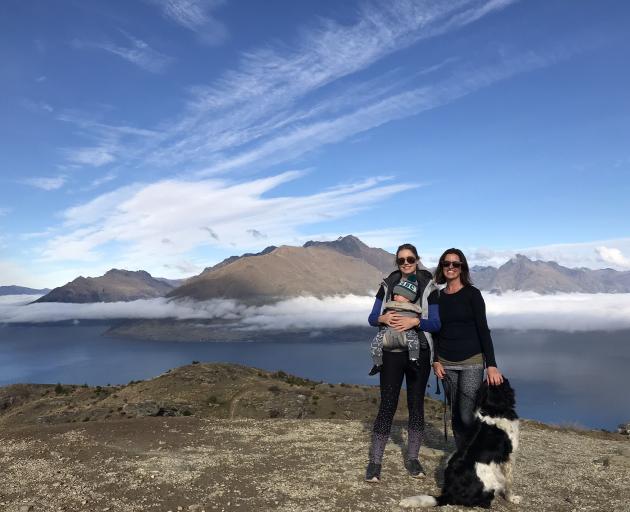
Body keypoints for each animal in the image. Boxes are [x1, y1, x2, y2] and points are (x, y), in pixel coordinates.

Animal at [400, 378, 524, 510]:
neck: (491, 410)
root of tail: (450, 493)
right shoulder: (509, 458)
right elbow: (509, 482)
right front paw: (512, 498)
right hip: (492, 481)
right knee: (484, 502)